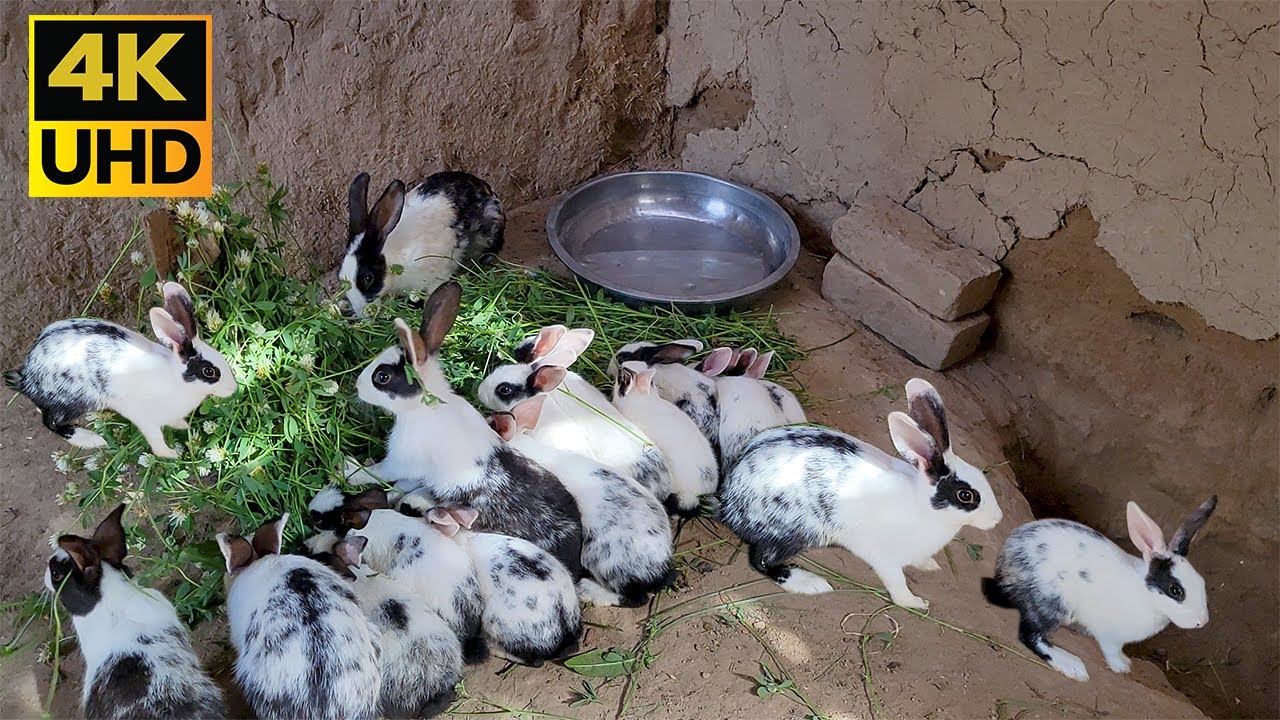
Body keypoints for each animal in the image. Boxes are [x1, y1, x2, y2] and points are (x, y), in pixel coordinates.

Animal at [7, 282, 236, 458]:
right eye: (209, 372)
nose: (234, 389)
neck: (175, 380)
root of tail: (27, 378)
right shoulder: (146, 419)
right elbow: (156, 440)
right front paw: (172, 455)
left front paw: (183, 426)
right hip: (72, 401)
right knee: (50, 422)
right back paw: (92, 440)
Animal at [347, 281, 585, 578]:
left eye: (382, 377)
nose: (356, 386)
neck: (424, 409)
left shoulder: (401, 460)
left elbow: (380, 472)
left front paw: (350, 471)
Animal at [717, 378, 1003, 609]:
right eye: (966, 496)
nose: (997, 519)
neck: (922, 506)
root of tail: (730, 497)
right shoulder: (886, 558)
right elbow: (898, 584)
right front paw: (916, 603)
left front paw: (930, 565)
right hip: (795, 532)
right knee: (761, 560)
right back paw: (812, 583)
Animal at [982, 496, 1218, 682]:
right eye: (1176, 591)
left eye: (1202, 583)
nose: (1203, 621)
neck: (1146, 595)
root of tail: (1004, 567)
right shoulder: (1110, 636)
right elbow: (1112, 651)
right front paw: (1122, 667)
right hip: (1052, 603)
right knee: (1030, 636)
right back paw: (1073, 666)